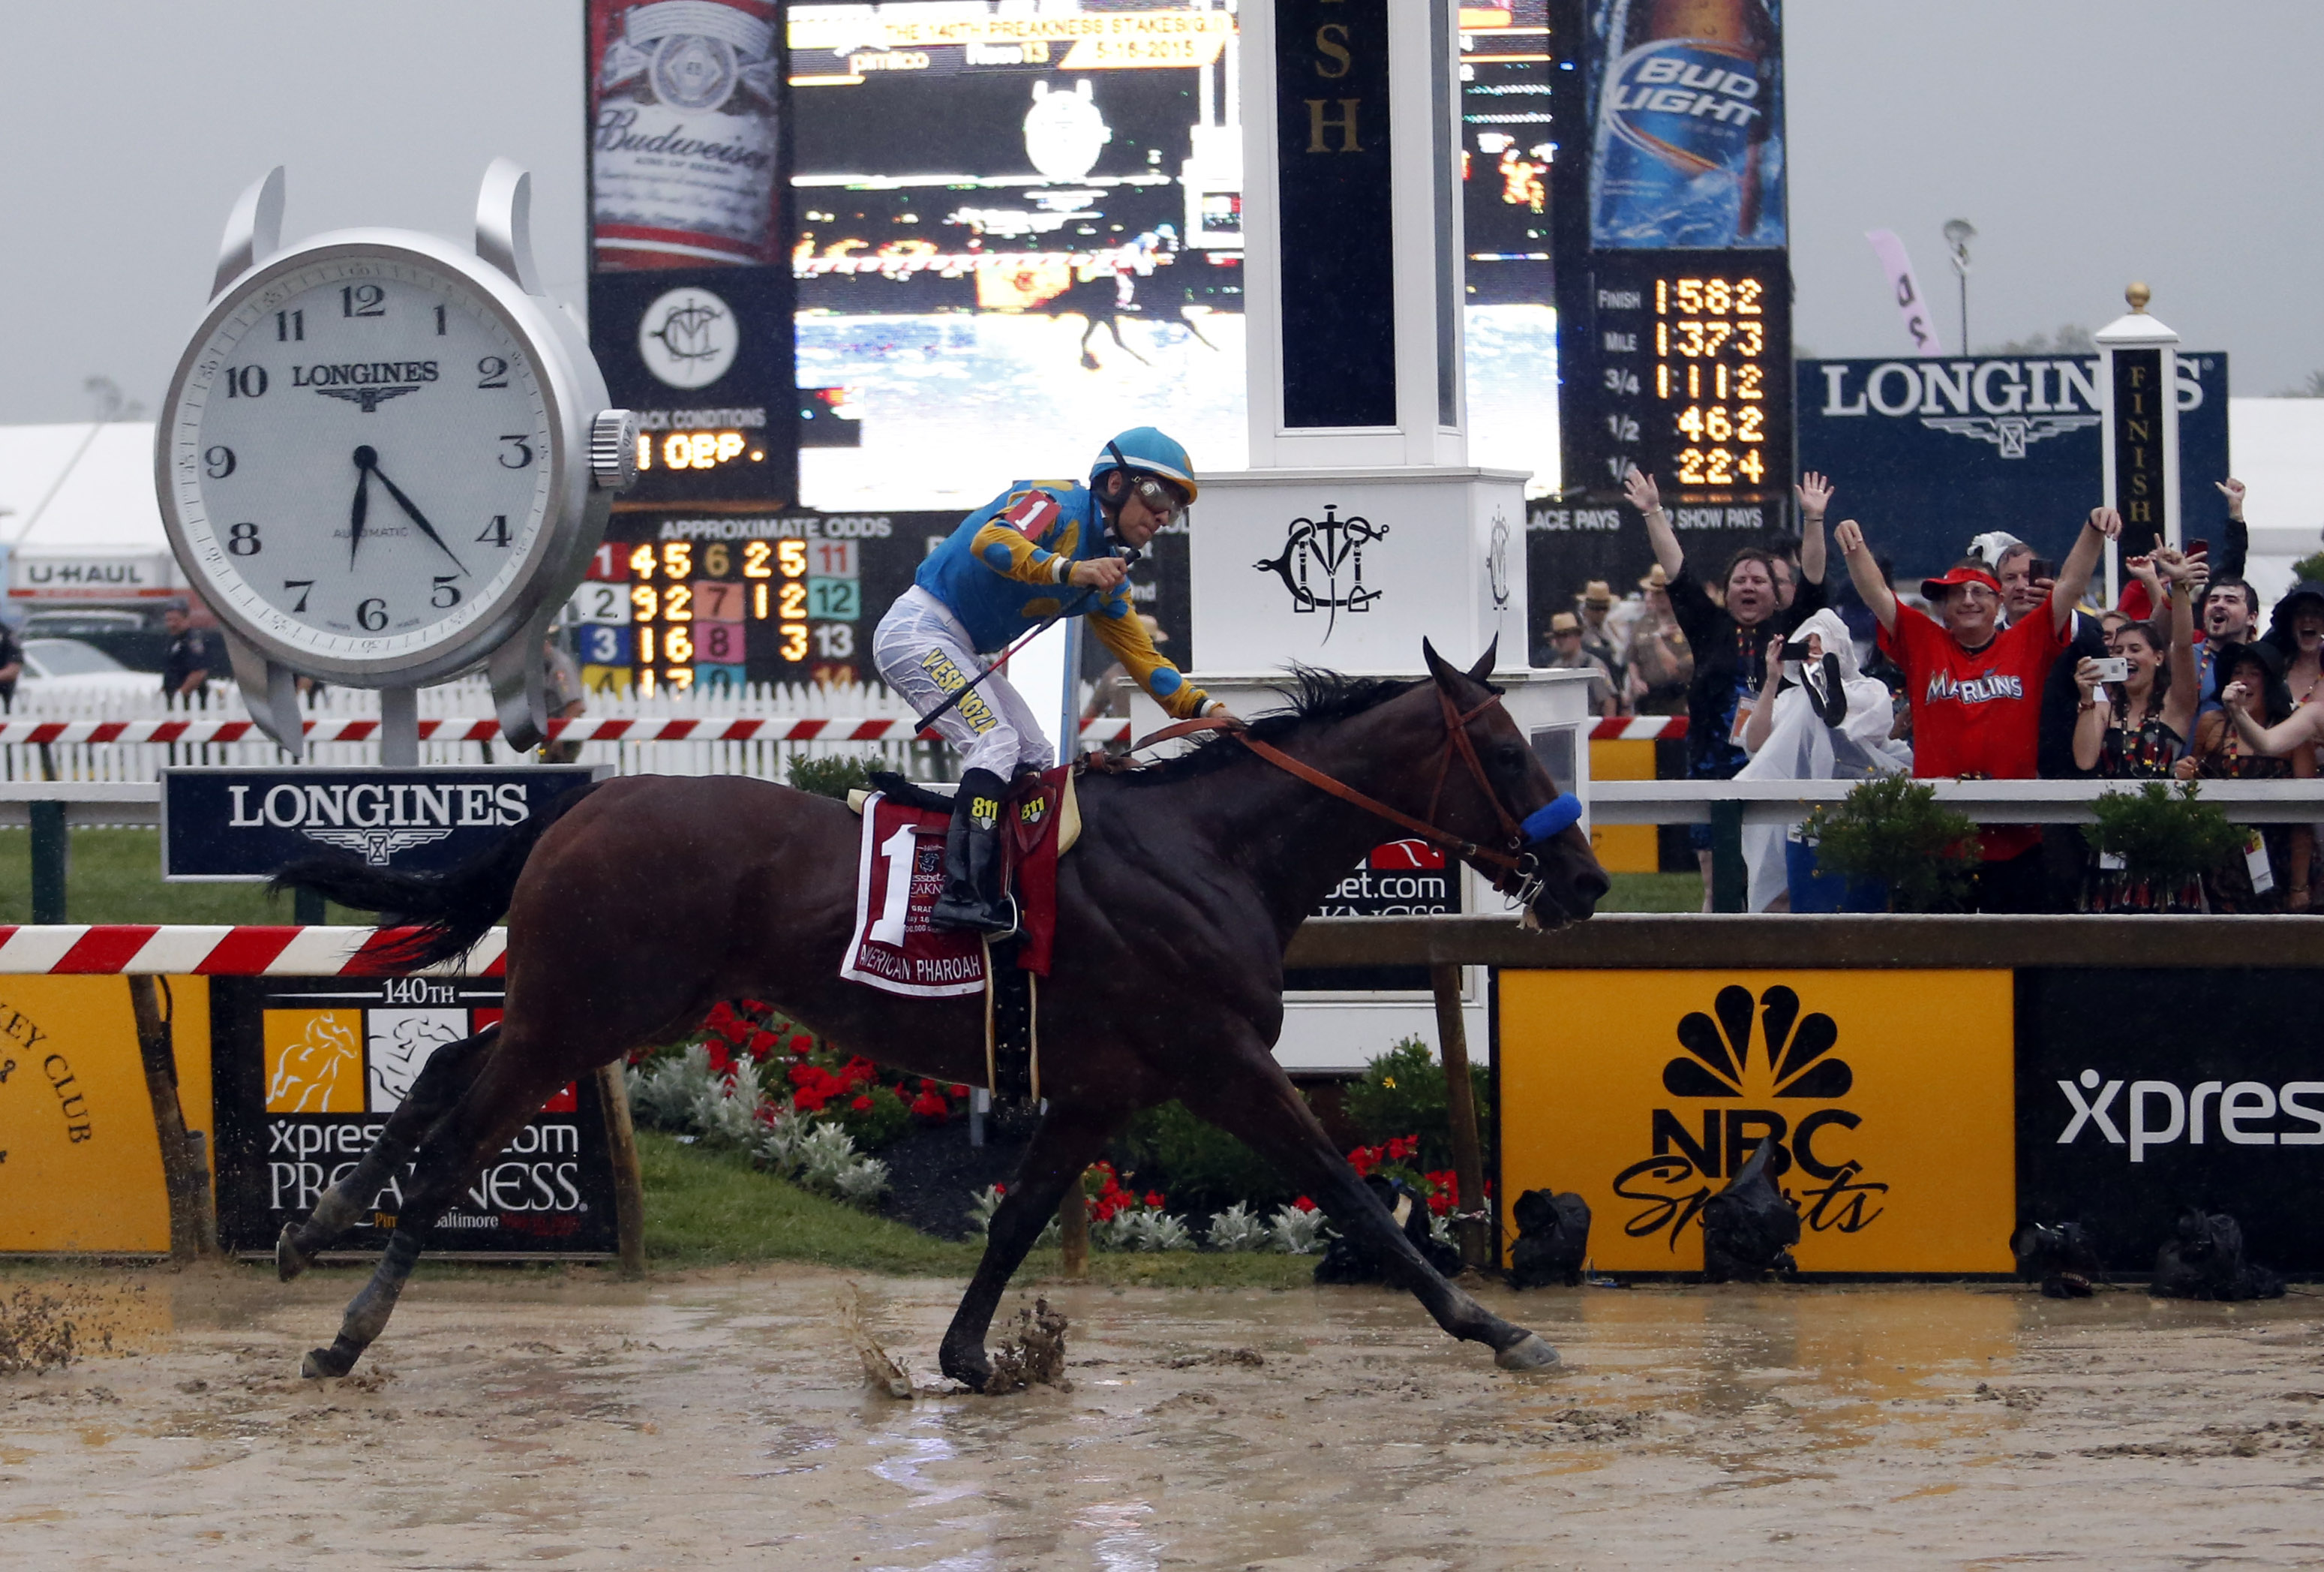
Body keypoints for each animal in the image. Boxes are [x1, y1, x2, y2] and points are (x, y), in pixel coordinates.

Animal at [272, 637, 1608, 1386]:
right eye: (1505, 749)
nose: (1587, 879)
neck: (1208, 850)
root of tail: (583, 802)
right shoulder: (1217, 1059)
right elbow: (1348, 1189)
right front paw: (1492, 1324)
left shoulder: (1103, 1085)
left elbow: (1015, 1214)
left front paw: (976, 1353)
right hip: (593, 1004)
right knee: (461, 1132)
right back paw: (348, 1328)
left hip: (605, 1002)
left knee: (443, 1077)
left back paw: (314, 1224)